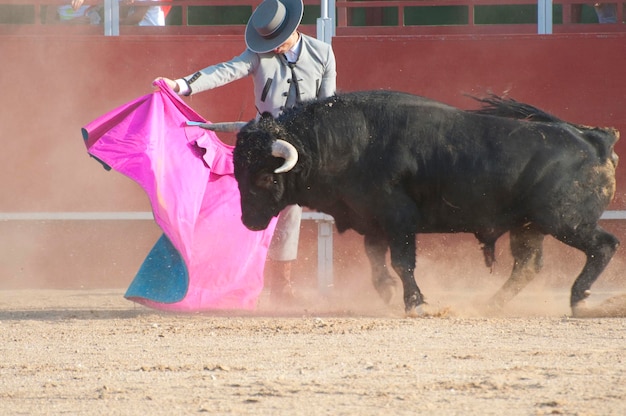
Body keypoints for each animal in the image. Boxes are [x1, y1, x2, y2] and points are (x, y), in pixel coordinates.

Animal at [207, 91, 616, 316]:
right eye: (237, 172)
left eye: (264, 177)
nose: (249, 222)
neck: (346, 142)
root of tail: (593, 139)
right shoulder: (372, 221)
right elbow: (376, 261)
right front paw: (388, 292)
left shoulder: (398, 218)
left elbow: (403, 262)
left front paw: (414, 302)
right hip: (529, 226)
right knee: (527, 266)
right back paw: (491, 305)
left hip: (566, 221)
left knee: (604, 246)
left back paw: (579, 300)